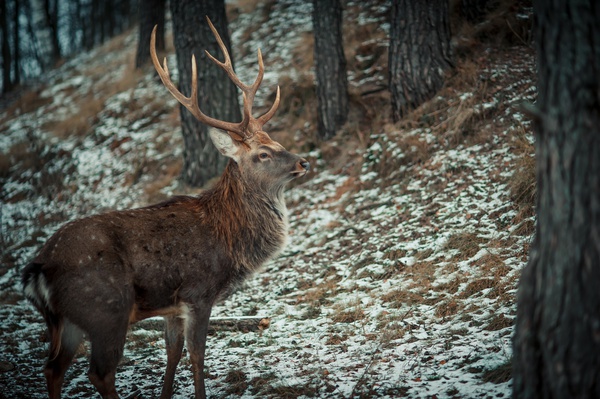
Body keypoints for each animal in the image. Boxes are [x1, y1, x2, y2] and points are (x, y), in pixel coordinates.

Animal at [22, 16, 310, 399]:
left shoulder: (171, 306)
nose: (303, 162)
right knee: (99, 372)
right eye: (262, 154)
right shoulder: (198, 291)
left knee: (52, 368)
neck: (227, 237)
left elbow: (172, 352)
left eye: (276, 142)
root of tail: (38, 268)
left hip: (66, 321)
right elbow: (197, 355)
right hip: (105, 309)